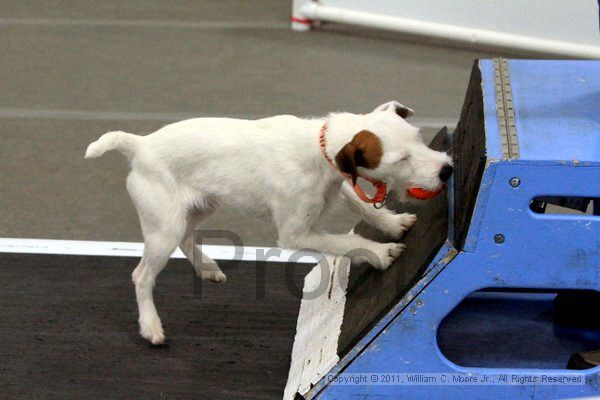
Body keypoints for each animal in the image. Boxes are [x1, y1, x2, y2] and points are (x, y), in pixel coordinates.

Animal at [83, 101, 450, 344]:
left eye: (419, 137)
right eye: (401, 159)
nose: (446, 169)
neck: (318, 150)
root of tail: (139, 145)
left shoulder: (338, 188)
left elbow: (364, 206)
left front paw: (392, 223)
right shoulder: (296, 233)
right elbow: (348, 242)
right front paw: (381, 252)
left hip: (201, 207)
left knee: (187, 238)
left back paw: (207, 267)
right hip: (164, 229)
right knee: (142, 276)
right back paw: (151, 326)